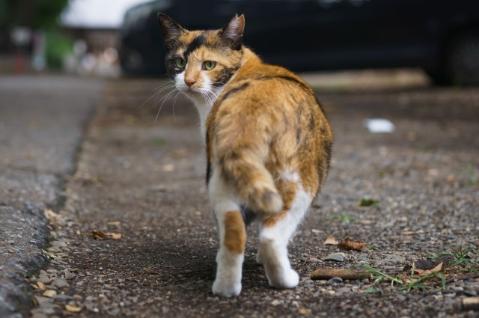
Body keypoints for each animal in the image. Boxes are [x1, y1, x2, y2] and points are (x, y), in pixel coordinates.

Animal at [159, 11, 332, 296]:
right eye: (180, 62)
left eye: (208, 64)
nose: (189, 81)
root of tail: (250, 110)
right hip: (299, 184)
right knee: (271, 235)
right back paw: (285, 280)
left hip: (220, 180)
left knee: (233, 233)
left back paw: (225, 289)